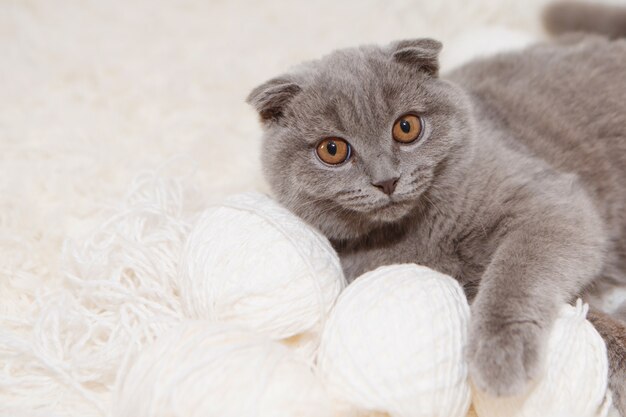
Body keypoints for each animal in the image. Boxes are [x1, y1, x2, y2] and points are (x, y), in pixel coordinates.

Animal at [246, 1, 620, 412]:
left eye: (406, 127)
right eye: (332, 149)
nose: (386, 180)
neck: (422, 233)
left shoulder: (550, 201)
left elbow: (515, 272)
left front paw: (499, 355)